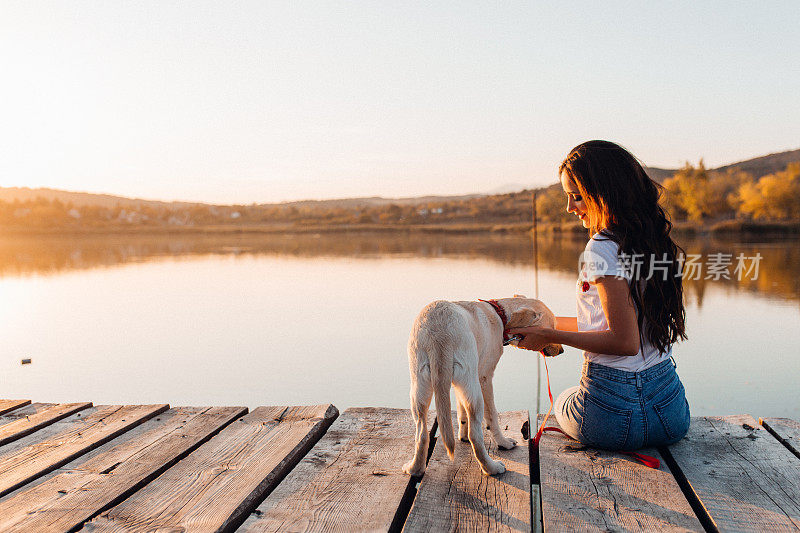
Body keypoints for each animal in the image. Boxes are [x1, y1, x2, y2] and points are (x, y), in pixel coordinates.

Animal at [400, 296, 564, 474]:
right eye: (552, 329)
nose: (562, 351)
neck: (500, 314)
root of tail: (439, 332)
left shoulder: (461, 384)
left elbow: (461, 411)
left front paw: (462, 435)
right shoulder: (484, 377)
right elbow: (492, 416)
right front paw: (503, 442)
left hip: (419, 388)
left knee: (421, 433)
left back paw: (414, 468)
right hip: (475, 392)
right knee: (476, 434)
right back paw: (492, 468)